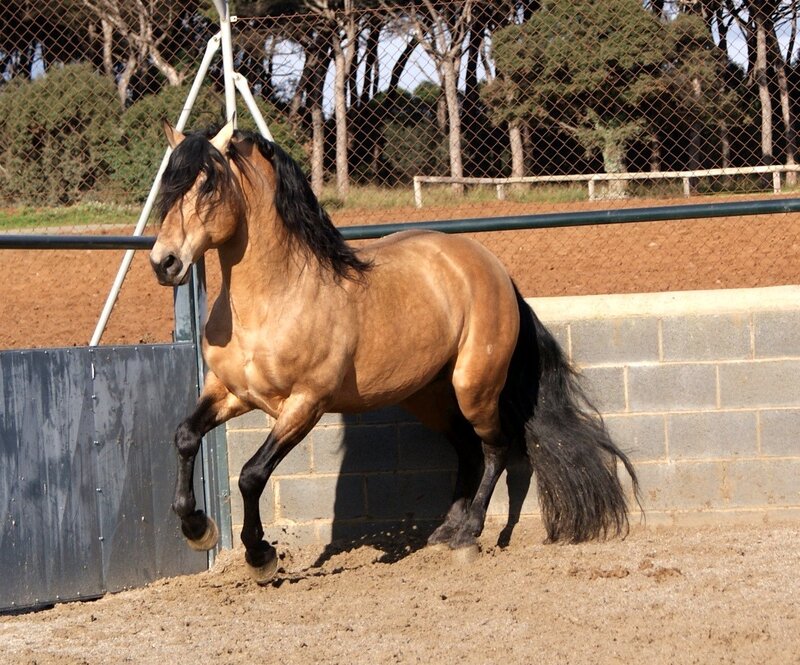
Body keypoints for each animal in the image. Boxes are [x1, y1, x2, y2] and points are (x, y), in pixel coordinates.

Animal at [149, 120, 640, 584]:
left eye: (207, 184)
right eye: (168, 187)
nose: (164, 263)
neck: (275, 299)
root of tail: (492, 268)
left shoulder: (305, 404)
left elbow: (251, 475)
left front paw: (261, 557)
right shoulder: (231, 392)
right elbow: (185, 436)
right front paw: (198, 529)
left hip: (474, 388)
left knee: (496, 449)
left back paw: (468, 535)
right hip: (430, 396)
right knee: (467, 450)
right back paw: (443, 532)